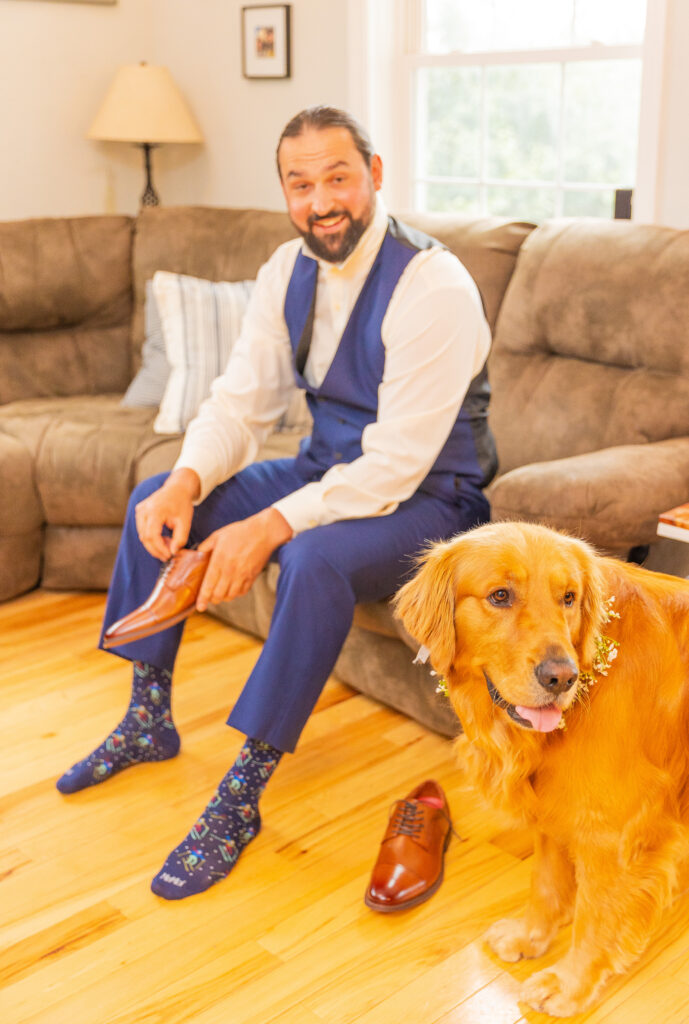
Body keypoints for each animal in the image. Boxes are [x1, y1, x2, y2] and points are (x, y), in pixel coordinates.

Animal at [395, 524, 687, 1019]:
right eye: (500, 595)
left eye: (568, 597)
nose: (561, 678)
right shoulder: (555, 804)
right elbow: (546, 882)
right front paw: (530, 937)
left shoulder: (611, 836)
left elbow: (595, 915)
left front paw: (569, 984)